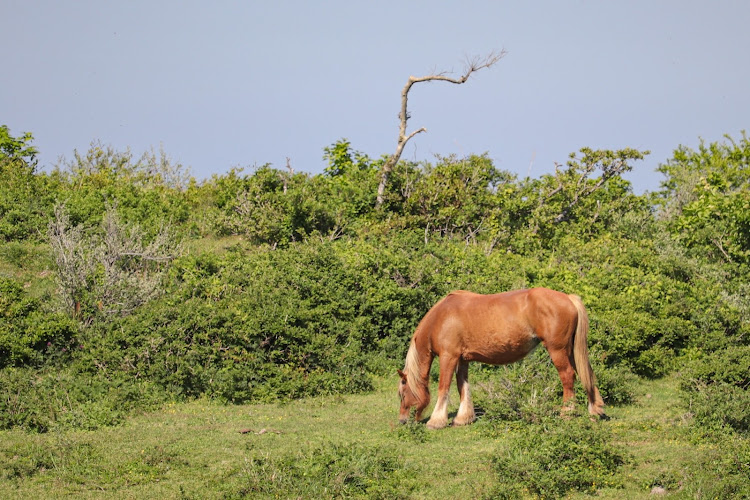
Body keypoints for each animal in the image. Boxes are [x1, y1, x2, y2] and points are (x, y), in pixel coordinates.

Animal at [400, 288, 604, 428]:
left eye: (402, 394)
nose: (402, 420)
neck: (441, 317)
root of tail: (568, 298)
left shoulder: (448, 357)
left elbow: (444, 387)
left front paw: (436, 421)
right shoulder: (463, 360)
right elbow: (462, 386)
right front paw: (463, 418)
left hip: (558, 350)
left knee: (568, 376)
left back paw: (567, 413)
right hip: (571, 351)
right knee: (586, 373)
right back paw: (595, 410)